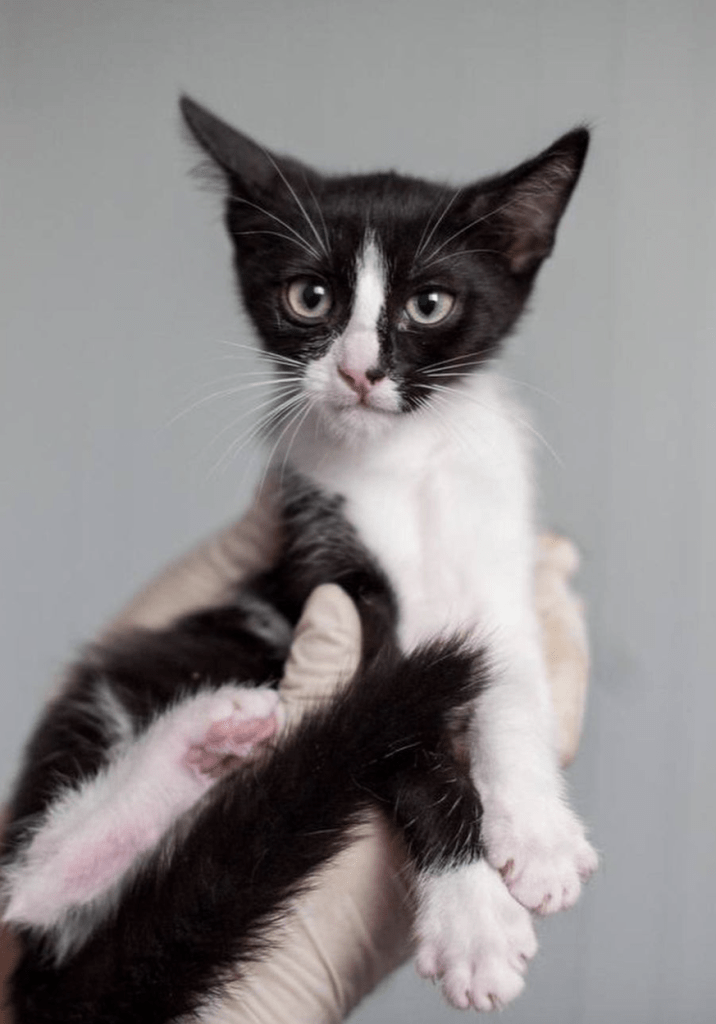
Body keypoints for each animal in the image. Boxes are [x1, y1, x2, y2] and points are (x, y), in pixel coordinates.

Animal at [0, 97, 598, 1024]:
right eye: (309, 297)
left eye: (429, 305)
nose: (358, 371)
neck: (401, 464)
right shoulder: (324, 568)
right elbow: (400, 731)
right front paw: (471, 916)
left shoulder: (501, 555)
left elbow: (511, 684)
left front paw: (535, 833)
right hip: (170, 651)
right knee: (27, 893)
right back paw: (183, 754)